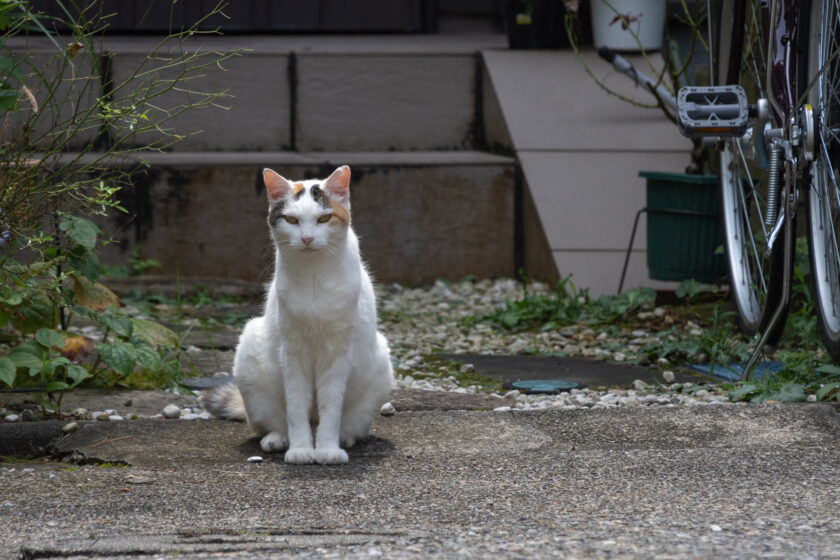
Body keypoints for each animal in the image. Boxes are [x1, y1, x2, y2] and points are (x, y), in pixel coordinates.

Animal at [205, 165, 398, 464]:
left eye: (324, 218)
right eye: (292, 220)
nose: (307, 238)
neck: (314, 275)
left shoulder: (337, 353)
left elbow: (331, 406)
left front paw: (328, 449)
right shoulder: (293, 353)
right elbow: (296, 408)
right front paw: (300, 449)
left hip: (380, 366)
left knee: (345, 423)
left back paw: (344, 438)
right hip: (250, 356)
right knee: (271, 422)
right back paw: (278, 440)